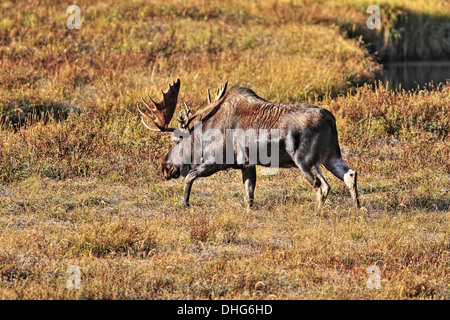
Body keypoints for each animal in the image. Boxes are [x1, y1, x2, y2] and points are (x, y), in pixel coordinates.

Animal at [137, 79, 358, 211]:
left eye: (175, 140)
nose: (165, 168)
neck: (205, 130)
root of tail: (331, 119)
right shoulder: (247, 164)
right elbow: (248, 195)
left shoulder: (217, 161)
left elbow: (190, 176)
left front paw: (185, 202)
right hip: (330, 155)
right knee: (350, 174)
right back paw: (358, 208)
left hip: (305, 160)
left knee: (322, 186)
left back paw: (317, 213)